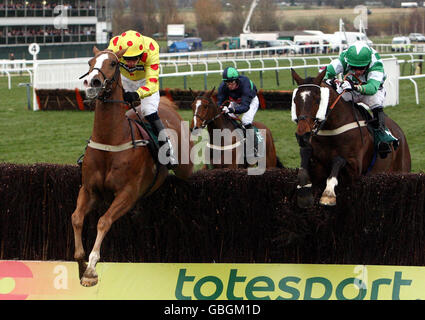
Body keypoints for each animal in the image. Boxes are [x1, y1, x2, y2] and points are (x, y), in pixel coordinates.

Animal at [71, 46, 194, 286]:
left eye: (112, 63)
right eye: (90, 62)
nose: (92, 83)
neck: (110, 141)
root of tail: (167, 105)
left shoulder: (128, 193)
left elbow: (103, 221)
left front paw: (91, 269)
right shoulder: (89, 190)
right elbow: (77, 218)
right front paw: (81, 265)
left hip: (185, 166)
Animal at [290, 68, 410, 208]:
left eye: (317, 99)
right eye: (295, 100)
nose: (302, 135)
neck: (332, 130)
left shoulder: (355, 170)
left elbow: (338, 159)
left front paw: (328, 194)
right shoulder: (317, 166)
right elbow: (305, 155)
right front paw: (304, 192)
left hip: (401, 170)